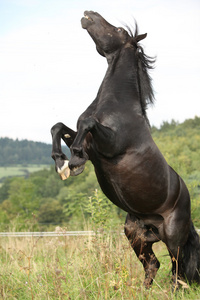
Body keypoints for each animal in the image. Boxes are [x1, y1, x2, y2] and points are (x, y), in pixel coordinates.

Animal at [51, 11, 200, 288]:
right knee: (153, 264)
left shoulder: (108, 144)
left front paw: (73, 162)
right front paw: (61, 163)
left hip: (173, 237)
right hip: (135, 234)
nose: (88, 14)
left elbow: (86, 124)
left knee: (176, 270)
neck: (117, 105)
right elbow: (59, 127)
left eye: (119, 30)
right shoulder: (90, 144)